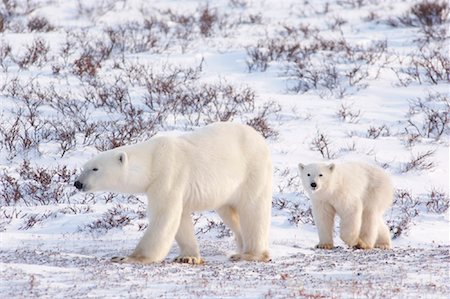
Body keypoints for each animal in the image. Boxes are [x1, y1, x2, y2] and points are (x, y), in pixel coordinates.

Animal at [74, 122, 270, 264]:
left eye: (95, 168)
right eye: (84, 167)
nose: (77, 183)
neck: (152, 160)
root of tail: (259, 137)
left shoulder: (168, 174)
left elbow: (164, 216)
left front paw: (127, 257)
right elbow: (180, 220)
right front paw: (188, 257)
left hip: (252, 171)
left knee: (252, 210)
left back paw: (250, 254)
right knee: (229, 213)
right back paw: (241, 248)